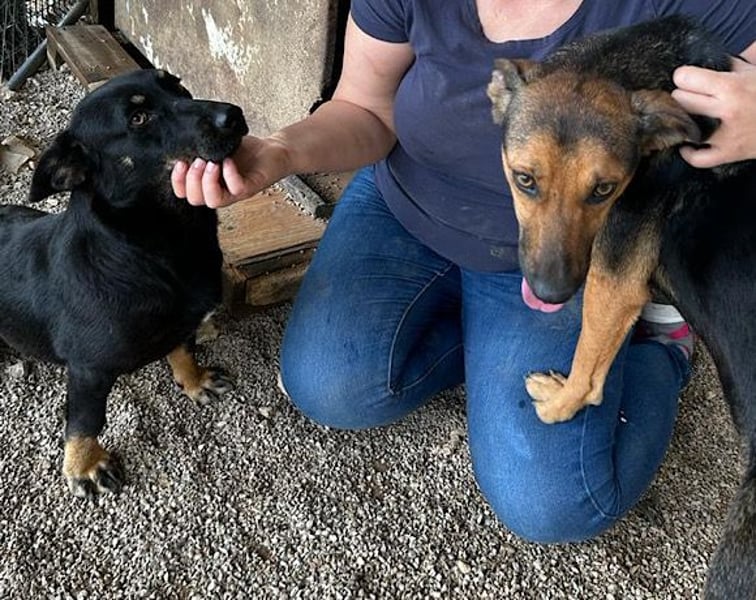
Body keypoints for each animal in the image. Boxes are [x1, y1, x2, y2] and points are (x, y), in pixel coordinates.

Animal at [0, 69, 248, 497]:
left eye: (177, 84)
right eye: (138, 119)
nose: (233, 115)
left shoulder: (184, 323)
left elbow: (184, 350)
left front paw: (193, 380)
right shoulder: (88, 369)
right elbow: (85, 420)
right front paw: (83, 465)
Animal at [487, 15, 756, 599]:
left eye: (604, 190)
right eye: (525, 179)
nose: (550, 294)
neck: (621, 64)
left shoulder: (613, 275)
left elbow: (590, 371)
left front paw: (561, 402)